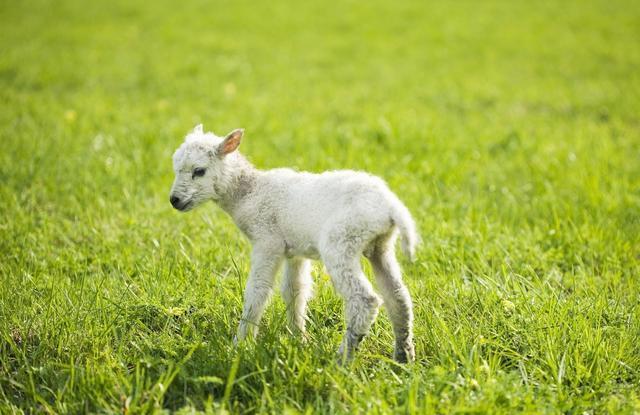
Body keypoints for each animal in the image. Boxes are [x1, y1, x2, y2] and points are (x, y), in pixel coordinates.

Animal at [170, 125, 420, 362]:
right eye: (175, 169)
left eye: (199, 171)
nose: (174, 200)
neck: (249, 192)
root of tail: (391, 206)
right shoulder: (295, 250)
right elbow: (295, 291)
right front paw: (299, 339)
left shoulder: (267, 241)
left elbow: (257, 291)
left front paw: (240, 344)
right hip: (380, 245)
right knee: (398, 296)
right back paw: (403, 356)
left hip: (341, 241)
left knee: (364, 300)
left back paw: (342, 359)